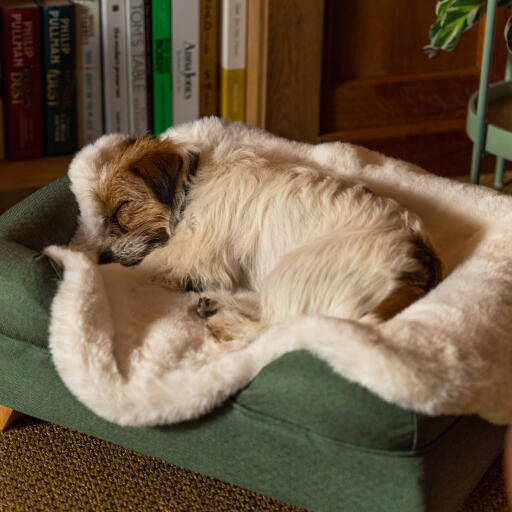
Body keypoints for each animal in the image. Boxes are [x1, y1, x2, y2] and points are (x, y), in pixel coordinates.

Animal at [68, 116, 442, 340]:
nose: (101, 257)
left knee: (274, 331)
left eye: (121, 209)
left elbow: (146, 266)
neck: (191, 185)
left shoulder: (190, 252)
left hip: (293, 272)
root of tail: (418, 260)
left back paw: (221, 318)